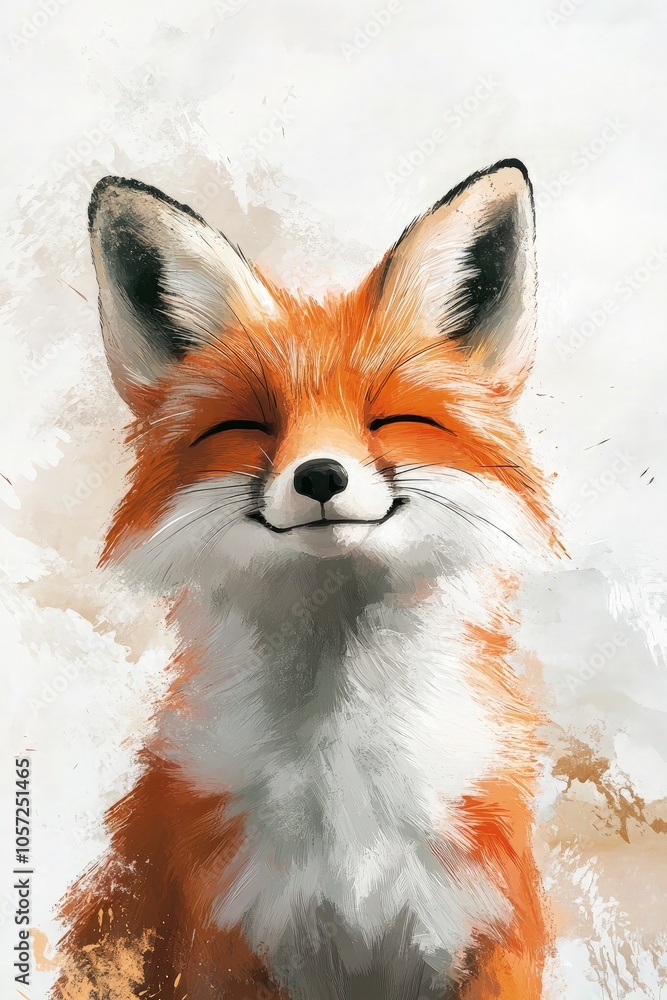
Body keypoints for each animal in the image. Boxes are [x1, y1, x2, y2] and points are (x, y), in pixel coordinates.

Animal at [54, 159, 559, 1000]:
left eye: (390, 420)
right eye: (247, 426)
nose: (320, 475)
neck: (346, 782)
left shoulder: (484, 929)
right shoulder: (222, 936)